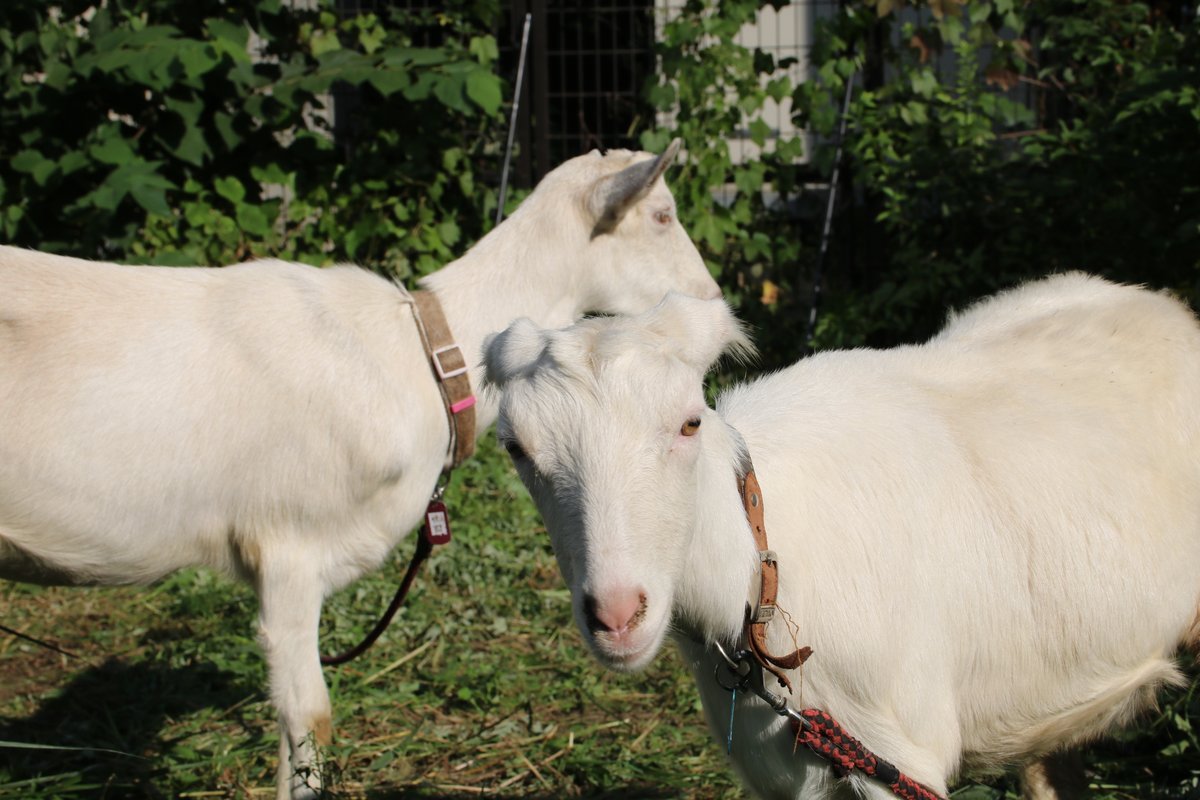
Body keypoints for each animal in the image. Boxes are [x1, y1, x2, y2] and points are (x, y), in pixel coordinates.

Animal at [485, 275, 1200, 800]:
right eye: (515, 447)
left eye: (689, 422)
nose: (616, 614)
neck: (765, 570)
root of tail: (1166, 309)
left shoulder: (898, 754)